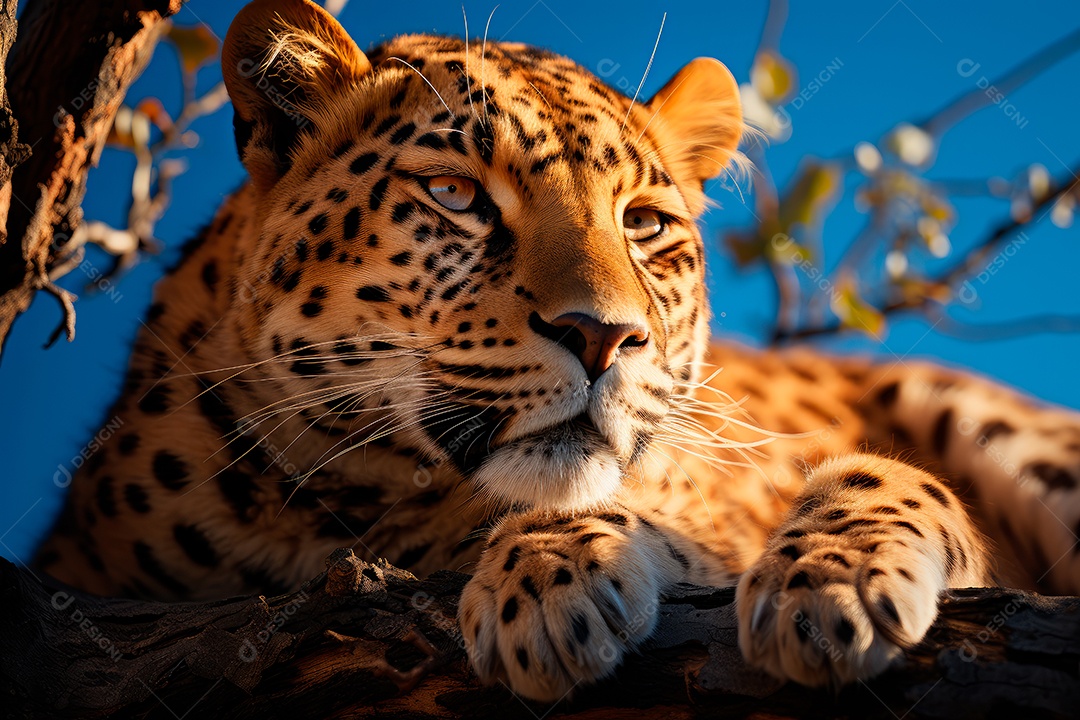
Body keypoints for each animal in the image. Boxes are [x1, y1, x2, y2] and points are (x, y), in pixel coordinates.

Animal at [29, 0, 1080, 703]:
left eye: (646, 224)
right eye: (455, 194)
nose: (603, 335)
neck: (333, 515)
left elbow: (848, 481)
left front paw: (826, 586)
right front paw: (554, 580)